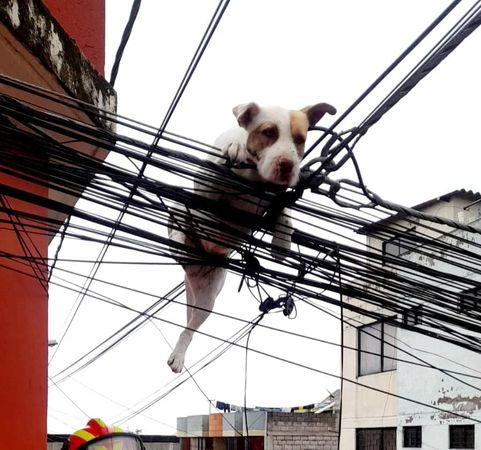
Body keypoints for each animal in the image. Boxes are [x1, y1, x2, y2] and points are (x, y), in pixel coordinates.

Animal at [167, 102, 336, 372]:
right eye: (269, 132)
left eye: (300, 140)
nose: (287, 164)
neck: (254, 174)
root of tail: (191, 265)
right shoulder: (205, 186)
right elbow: (214, 175)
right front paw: (232, 149)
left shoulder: (278, 195)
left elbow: (284, 212)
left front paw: (281, 243)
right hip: (181, 205)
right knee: (179, 213)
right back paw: (178, 238)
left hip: (208, 294)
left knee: (190, 328)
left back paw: (179, 353)